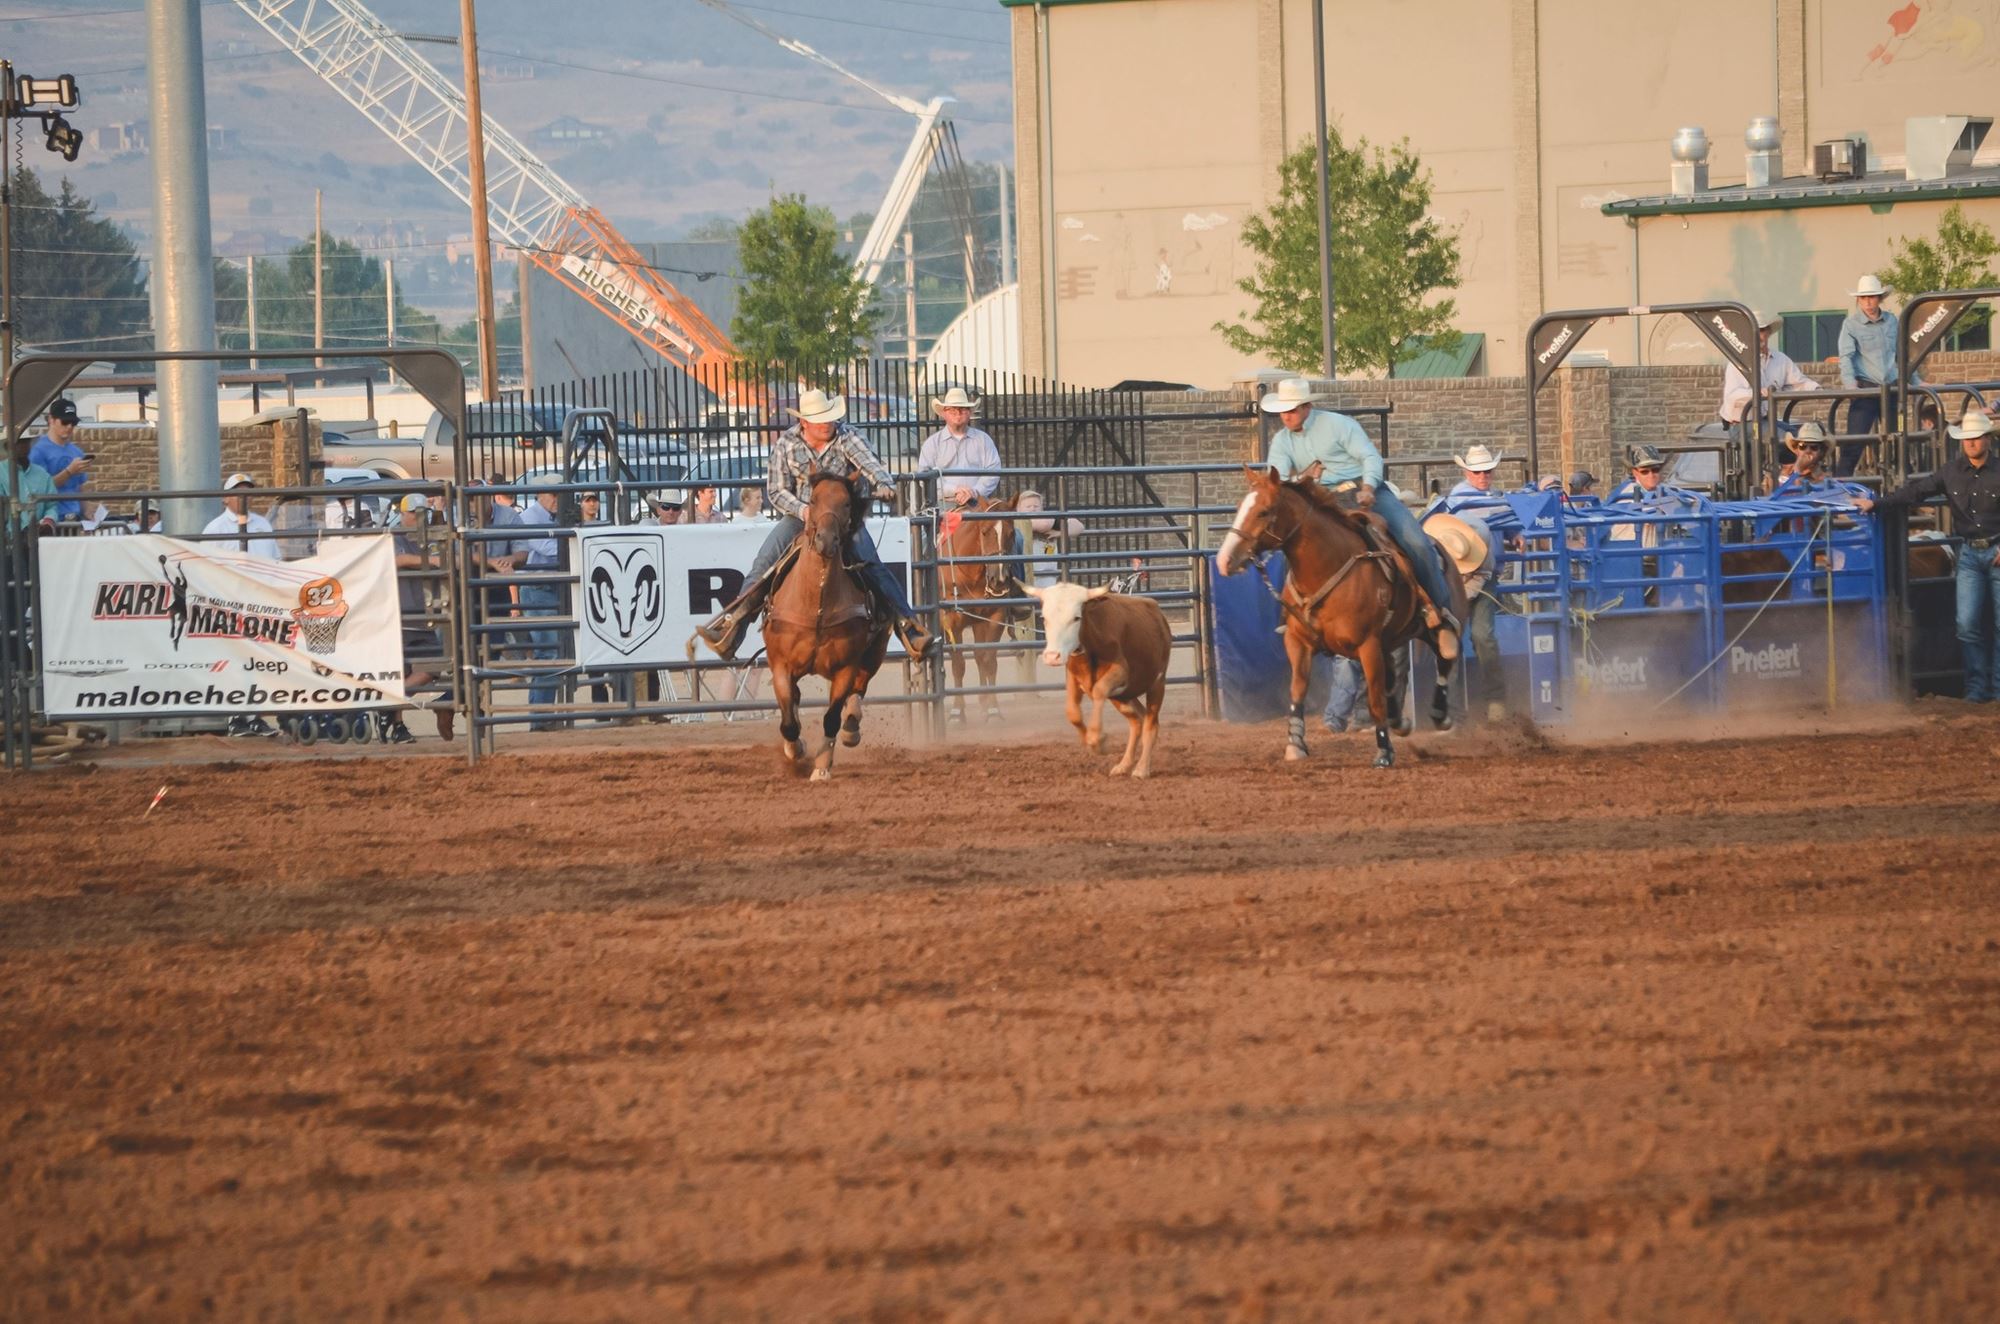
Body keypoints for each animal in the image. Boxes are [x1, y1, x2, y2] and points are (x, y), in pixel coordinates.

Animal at [764, 474, 892, 780]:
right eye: (812, 500)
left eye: (846, 503)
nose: (825, 540)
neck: (817, 607)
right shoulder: (780, 665)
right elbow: (788, 722)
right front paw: (796, 750)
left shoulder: (846, 667)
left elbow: (831, 717)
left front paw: (822, 767)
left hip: (875, 652)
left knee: (859, 690)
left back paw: (851, 730)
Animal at [940, 496, 1032, 728]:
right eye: (984, 531)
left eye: (1011, 533)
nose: (999, 579)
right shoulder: (951, 621)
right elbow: (958, 664)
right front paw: (957, 713)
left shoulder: (994, 616)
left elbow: (989, 661)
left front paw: (992, 710)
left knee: (980, 656)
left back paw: (983, 704)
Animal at [1032, 584, 1168, 780]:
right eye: (1044, 618)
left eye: (1076, 618)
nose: (1052, 657)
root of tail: (1158, 613)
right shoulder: (1072, 677)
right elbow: (1072, 712)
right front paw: (1089, 740)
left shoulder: (1120, 672)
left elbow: (1098, 690)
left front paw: (1098, 740)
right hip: (1123, 696)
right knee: (1137, 722)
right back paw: (1124, 765)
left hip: (1156, 684)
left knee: (1150, 724)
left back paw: (1142, 769)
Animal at [1200, 466, 1472, 772]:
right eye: (1239, 508)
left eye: (1263, 511)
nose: (1224, 560)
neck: (1326, 566)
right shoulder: (1298, 643)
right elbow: (1298, 690)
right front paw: (1295, 744)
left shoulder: (1368, 645)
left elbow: (1374, 697)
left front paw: (1384, 752)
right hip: (1391, 640)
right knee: (1394, 679)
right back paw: (1399, 721)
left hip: (1433, 625)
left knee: (1444, 658)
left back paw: (1439, 714)